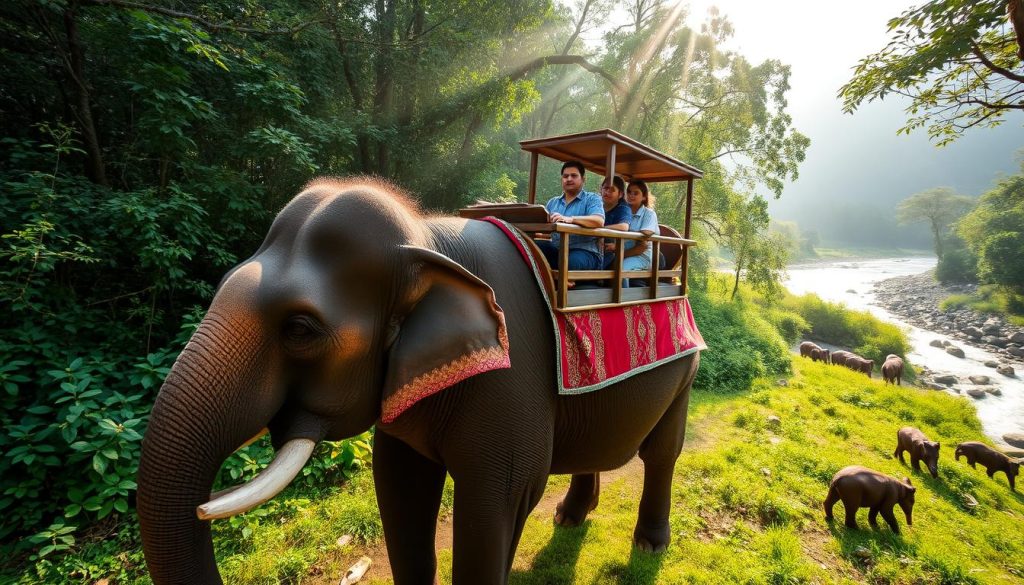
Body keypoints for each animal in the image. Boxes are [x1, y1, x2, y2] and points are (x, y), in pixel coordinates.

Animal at [136, 178, 702, 584]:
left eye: (300, 330)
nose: (203, 505)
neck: (428, 239)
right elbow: (399, 485)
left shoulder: (514, 372)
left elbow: (504, 496)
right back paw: (570, 517)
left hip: (686, 366)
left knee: (662, 452)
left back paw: (649, 544)